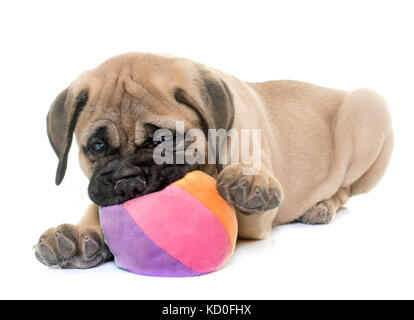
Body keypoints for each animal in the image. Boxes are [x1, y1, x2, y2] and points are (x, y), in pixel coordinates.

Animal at [34, 52, 392, 268]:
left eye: (164, 140)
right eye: (97, 146)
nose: (129, 184)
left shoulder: (256, 222)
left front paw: (249, 181)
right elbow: (94, 208)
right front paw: (77, 235)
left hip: (369, 107)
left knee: (345, 190)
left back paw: (322, 206)